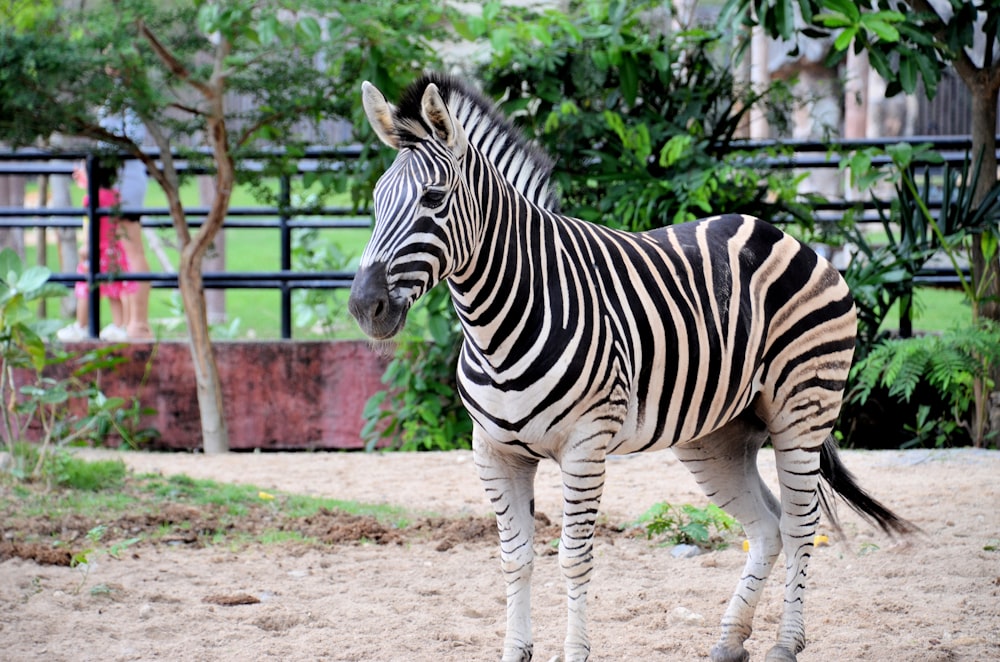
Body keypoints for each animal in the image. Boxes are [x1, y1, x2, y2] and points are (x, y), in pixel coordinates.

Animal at [350, 72, 916, 662]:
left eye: (434, 198)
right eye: (376, 200)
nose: (365, 306)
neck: (499, 324)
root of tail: (778, 232)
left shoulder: (584, 446)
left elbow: (572, 556)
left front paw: (575, 653)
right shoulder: (494, 451)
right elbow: (515, 557)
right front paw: (516, 650)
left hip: (801, 412)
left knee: (802, 524)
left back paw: (785, 645)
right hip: (718, 435)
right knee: (768, 526)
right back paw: (729, 641)